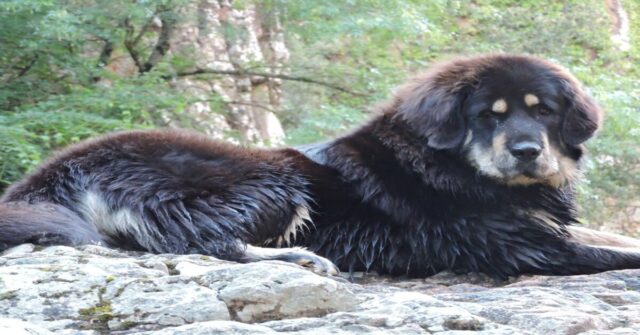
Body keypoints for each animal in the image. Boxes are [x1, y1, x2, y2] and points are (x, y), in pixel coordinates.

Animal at [1, 55, 640, 280]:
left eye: (544, 111)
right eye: (489, 116)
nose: (527, 151)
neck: (451, 168)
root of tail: (57, 170)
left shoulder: (547, 228)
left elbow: (615, 236)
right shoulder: (530, 249)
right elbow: (617, 252)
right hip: (267, 182)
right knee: (203, 243)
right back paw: (299, 257)